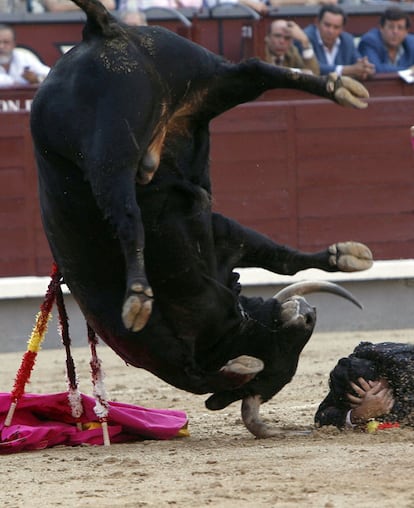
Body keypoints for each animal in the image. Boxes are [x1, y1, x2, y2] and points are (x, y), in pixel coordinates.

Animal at [29, 0, 372, 436]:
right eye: (283, 359)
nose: (309, 314)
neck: (232, 324)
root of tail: (101, 31)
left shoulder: (223, 236)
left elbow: (280, 257)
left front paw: (344, 255)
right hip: (113, 142)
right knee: (126, 211)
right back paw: (138, 295)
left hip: (185, 86)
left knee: (253, 72)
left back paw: (341, 89)